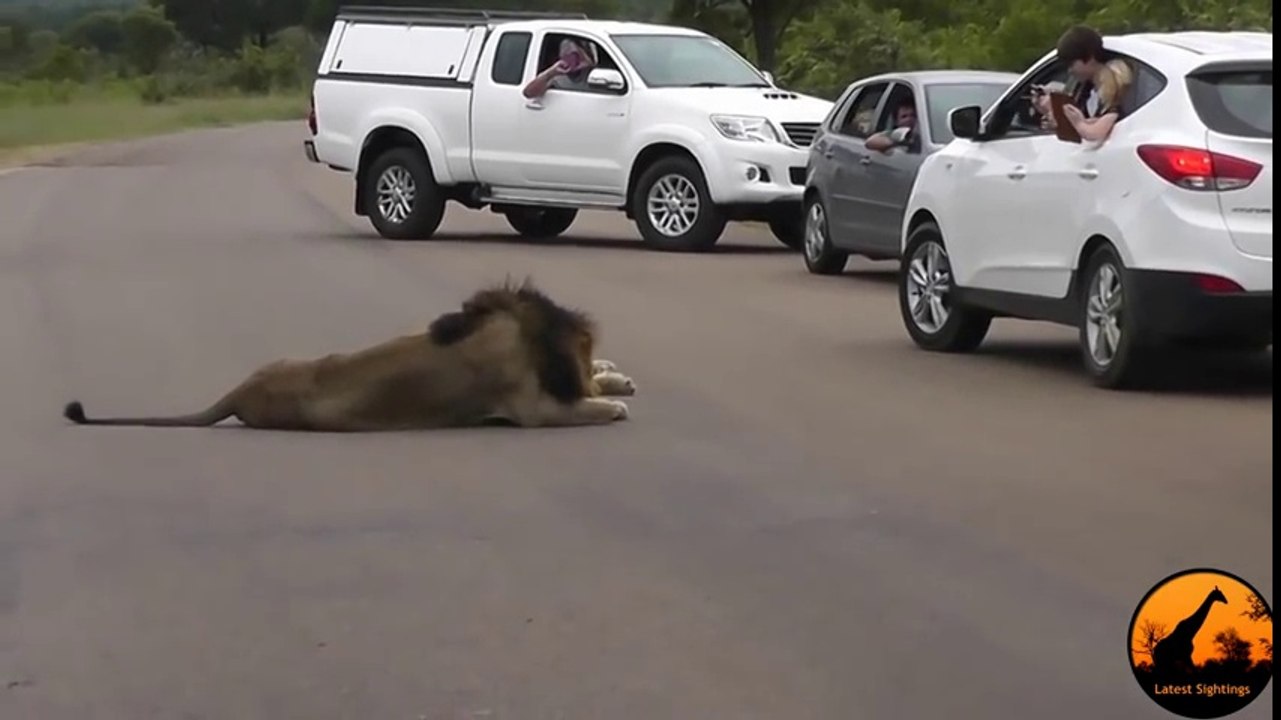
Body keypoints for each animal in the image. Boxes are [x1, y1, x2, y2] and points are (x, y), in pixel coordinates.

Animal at [61, 280, 637, 431]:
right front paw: (611, 402)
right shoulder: (531, 409)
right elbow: (579, 405)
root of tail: (242, 390)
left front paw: (614, 379)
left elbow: (594, 379)